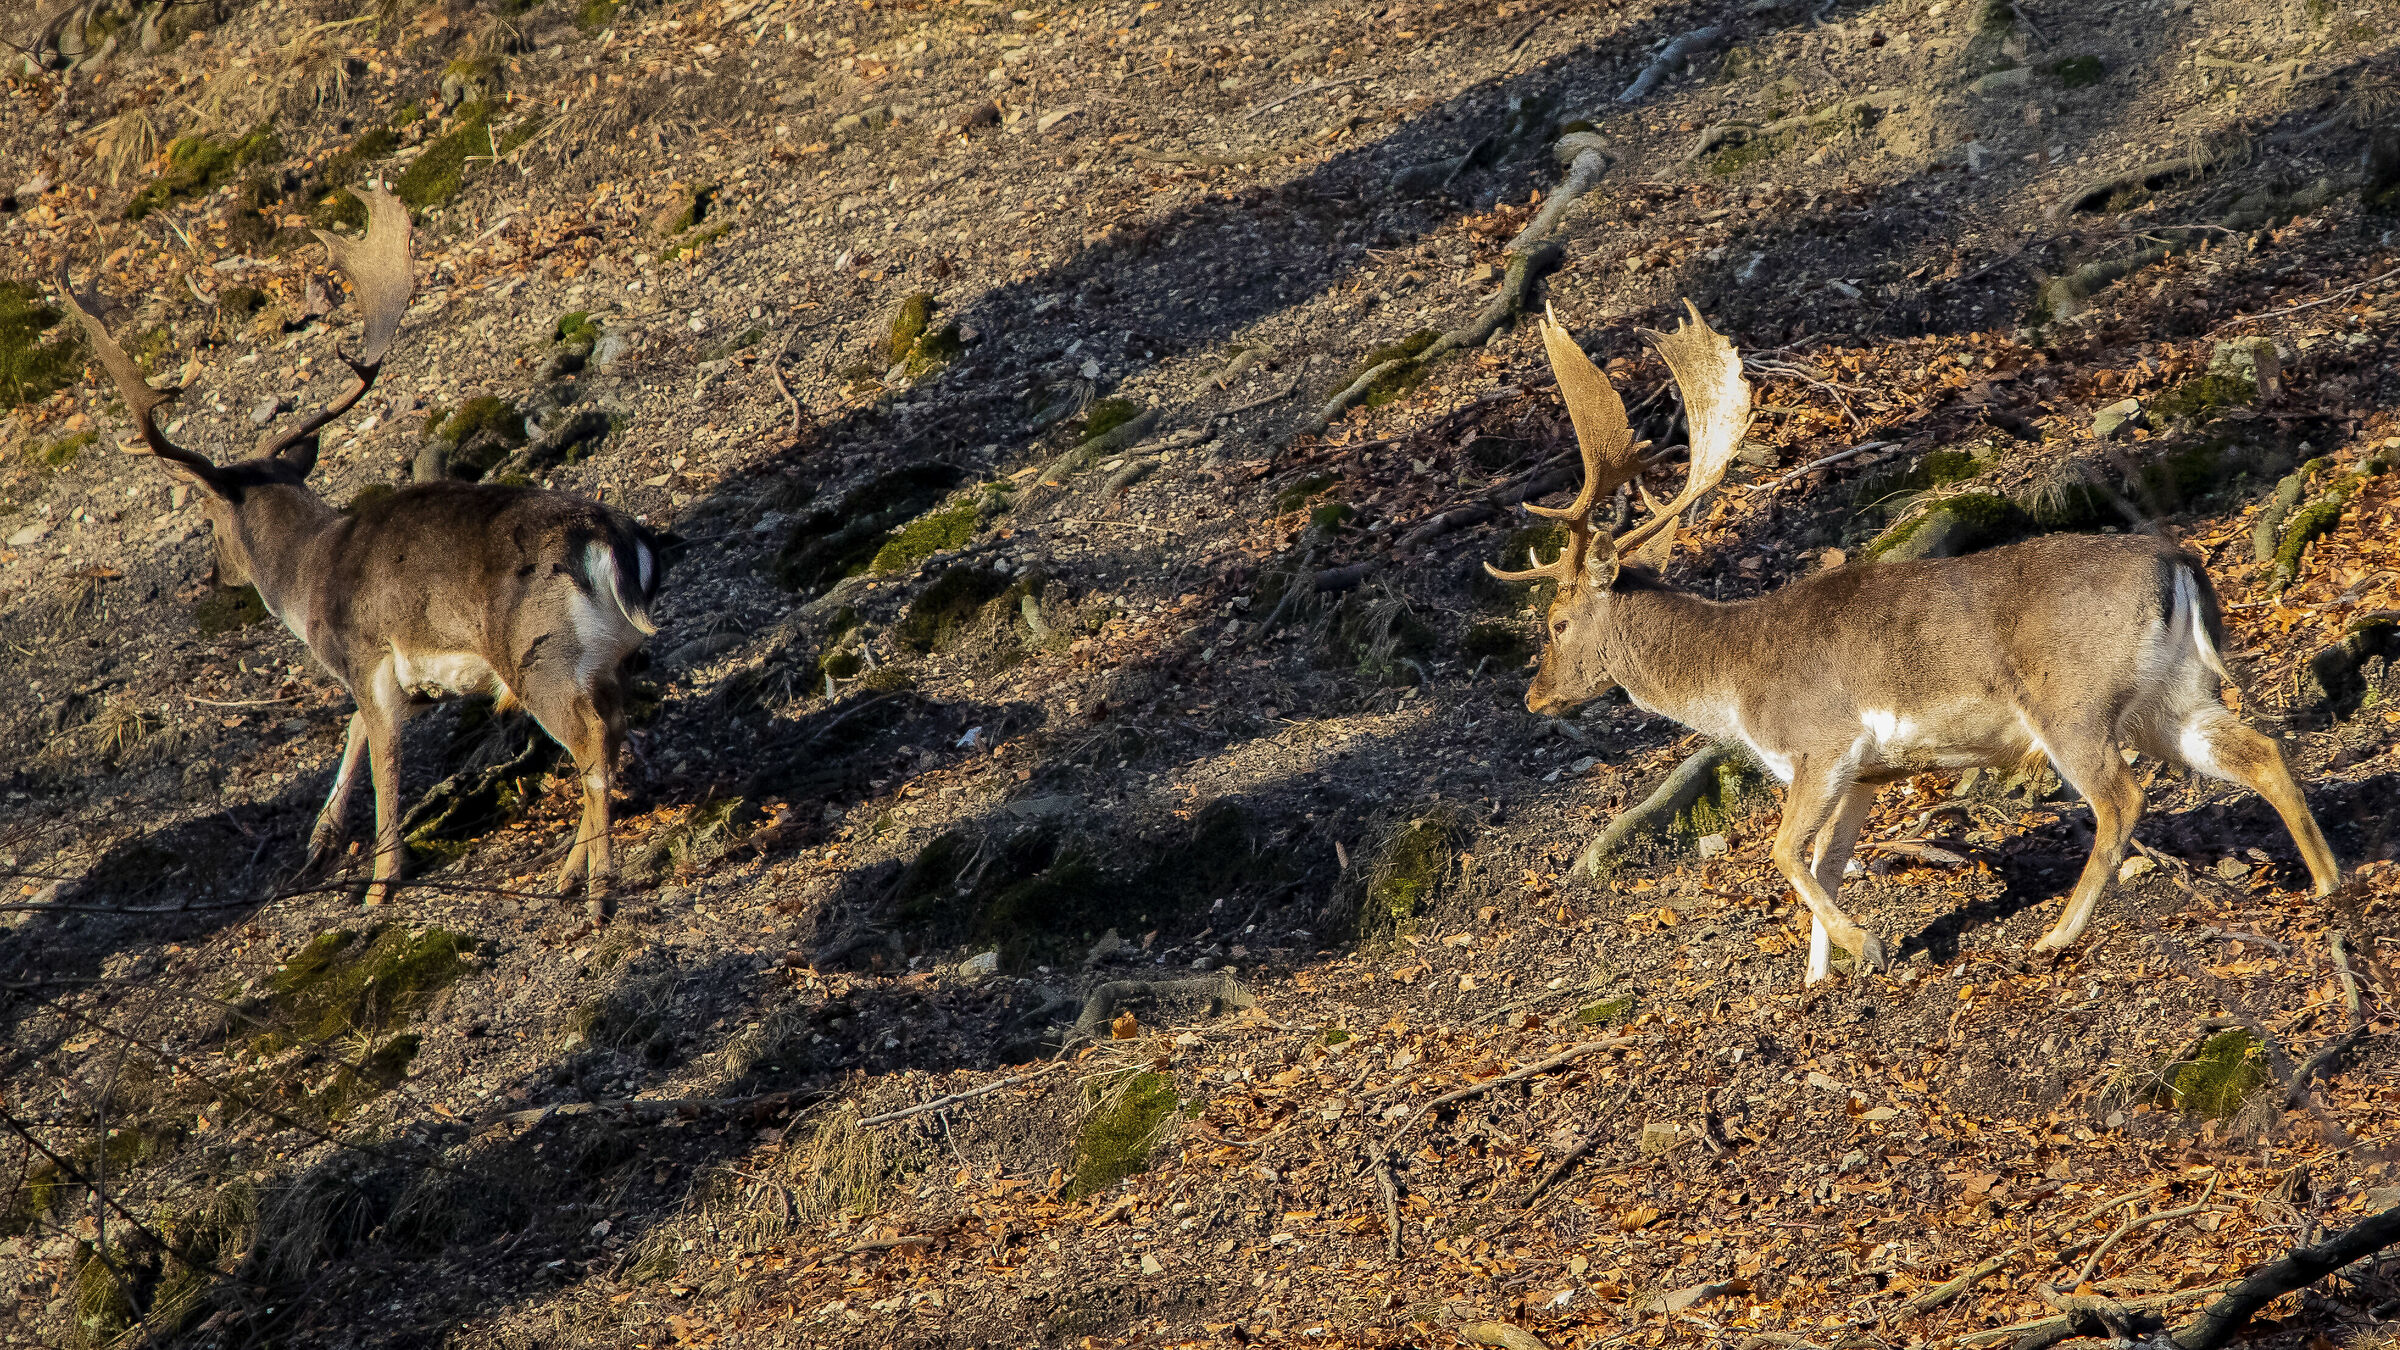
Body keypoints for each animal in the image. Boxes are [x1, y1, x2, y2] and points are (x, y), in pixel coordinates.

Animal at [61, 186, 669, 916]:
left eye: (207, 515)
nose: (214, 574)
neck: (306, 579)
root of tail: (614, 545)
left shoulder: (366, 655)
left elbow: (385, 759)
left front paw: (380, 882)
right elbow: (354, 730)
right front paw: (322, 841)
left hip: (540, 656)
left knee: (592, 750)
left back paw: (599, 891)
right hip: (607, 662)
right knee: (611, 735)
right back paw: (568, 874)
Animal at [1488, 301, 2341, 983]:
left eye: (1555, 623)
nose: (1533, 695)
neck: (1734, 688)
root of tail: (2178, 560)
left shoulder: (1822, 739)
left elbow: (1784, 852)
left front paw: (1862, 949)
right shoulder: (1867, 771)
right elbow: (1827, 862)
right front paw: (1818, 979)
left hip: (2073, 700)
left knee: (2122, 798)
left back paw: (2056, 937)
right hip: (2169, 695)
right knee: (2261, 750)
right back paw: (2330, 881)